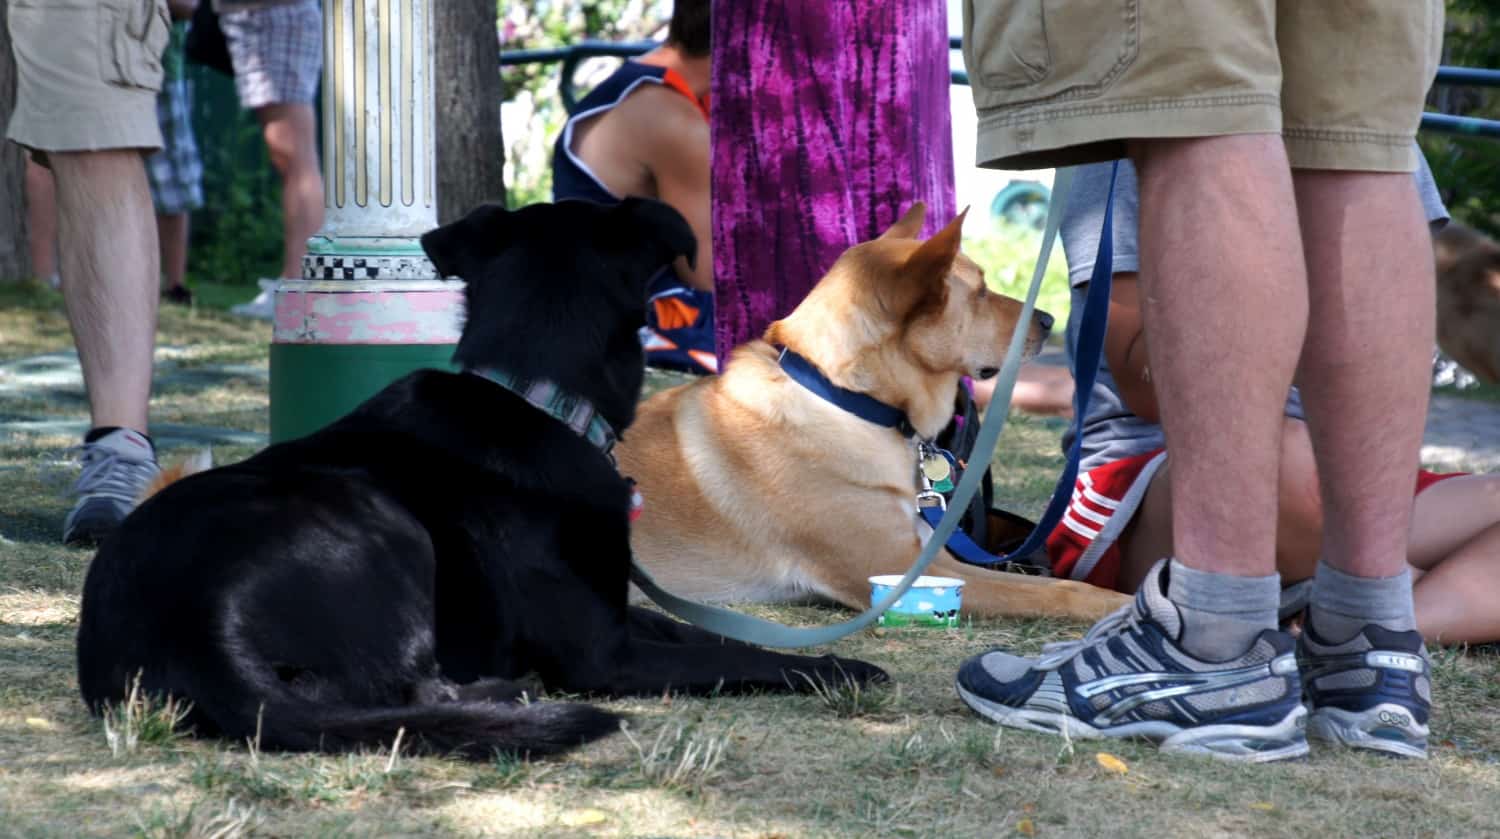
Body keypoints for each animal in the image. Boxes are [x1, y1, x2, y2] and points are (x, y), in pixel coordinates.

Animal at [76, 198, 882, 762]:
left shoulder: (615, 608)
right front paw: (840, 665)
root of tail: (195, 623)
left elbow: (701, 629)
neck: (534, 394)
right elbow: (736, 654)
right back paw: (508, 694)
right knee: (410, 685)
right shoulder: (605, 655)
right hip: (385, 522)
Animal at [618, 204, 1128, 624]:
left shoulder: (930, 555)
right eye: (981, 291)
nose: (1049, 320)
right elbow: (1054, 591)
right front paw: (1117, 603)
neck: (844, 399)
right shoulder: (901, 569)